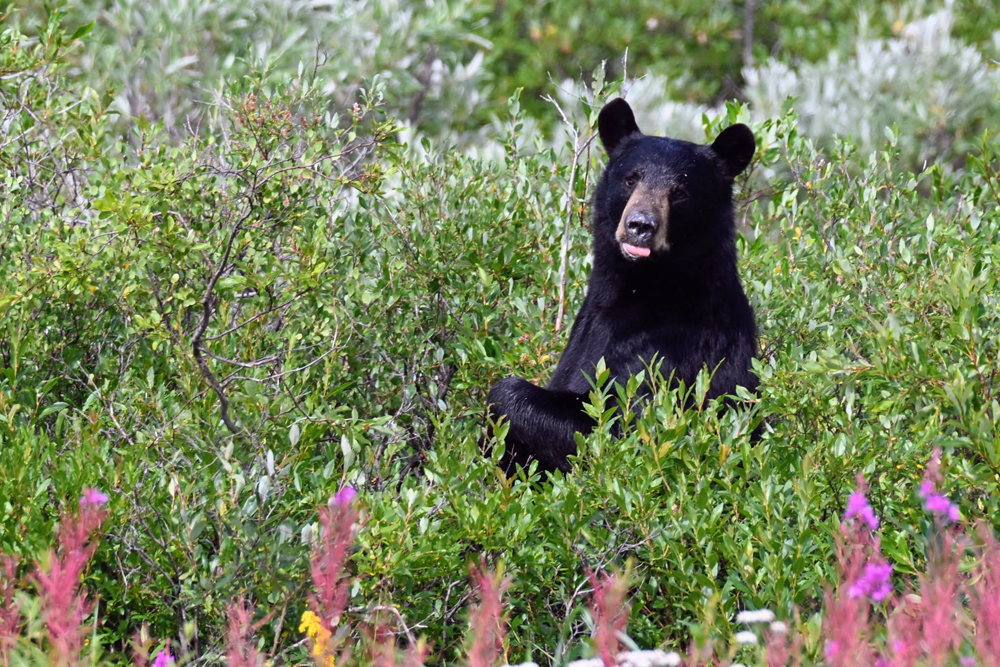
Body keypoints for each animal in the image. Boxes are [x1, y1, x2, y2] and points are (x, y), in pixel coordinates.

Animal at [486, 98, 759, 475]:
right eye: (631, 179)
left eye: (680, 191)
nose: (640, 225)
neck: (646, 290)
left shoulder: (673, 355)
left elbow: (627, 429)